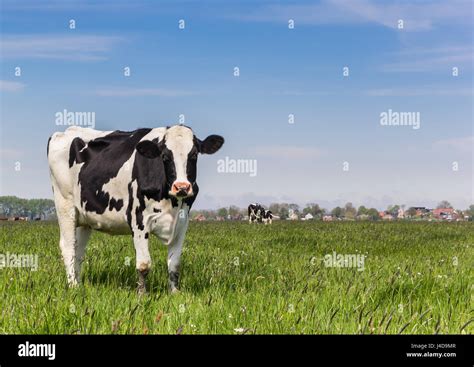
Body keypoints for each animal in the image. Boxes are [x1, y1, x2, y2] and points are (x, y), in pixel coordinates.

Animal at [47, 125, 224, 294]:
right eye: (165, 156)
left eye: (194, 155)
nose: (182, 187)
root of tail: (64, 132)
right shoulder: (139, 219)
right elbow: (144, 265)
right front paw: (142, 294)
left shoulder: (182, 222)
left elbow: (174, 264)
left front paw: (174, 293)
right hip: (65, 205)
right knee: (68, 247)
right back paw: (73, 286)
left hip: (85, 217)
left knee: (79, 250)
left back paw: (79, 284)